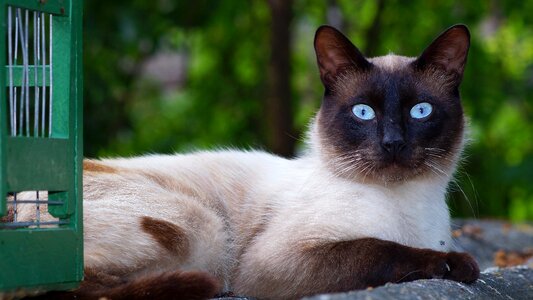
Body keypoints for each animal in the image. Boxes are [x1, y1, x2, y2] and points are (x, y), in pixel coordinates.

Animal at [18, 24, 478, 300]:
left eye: (420, 111)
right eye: (363, 112)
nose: (393, 142)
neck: (405, 207)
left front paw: (458, 263)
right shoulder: (274, 264)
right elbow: (380, 250)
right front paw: (454, 265)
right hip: (202, 229)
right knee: (66, 288)